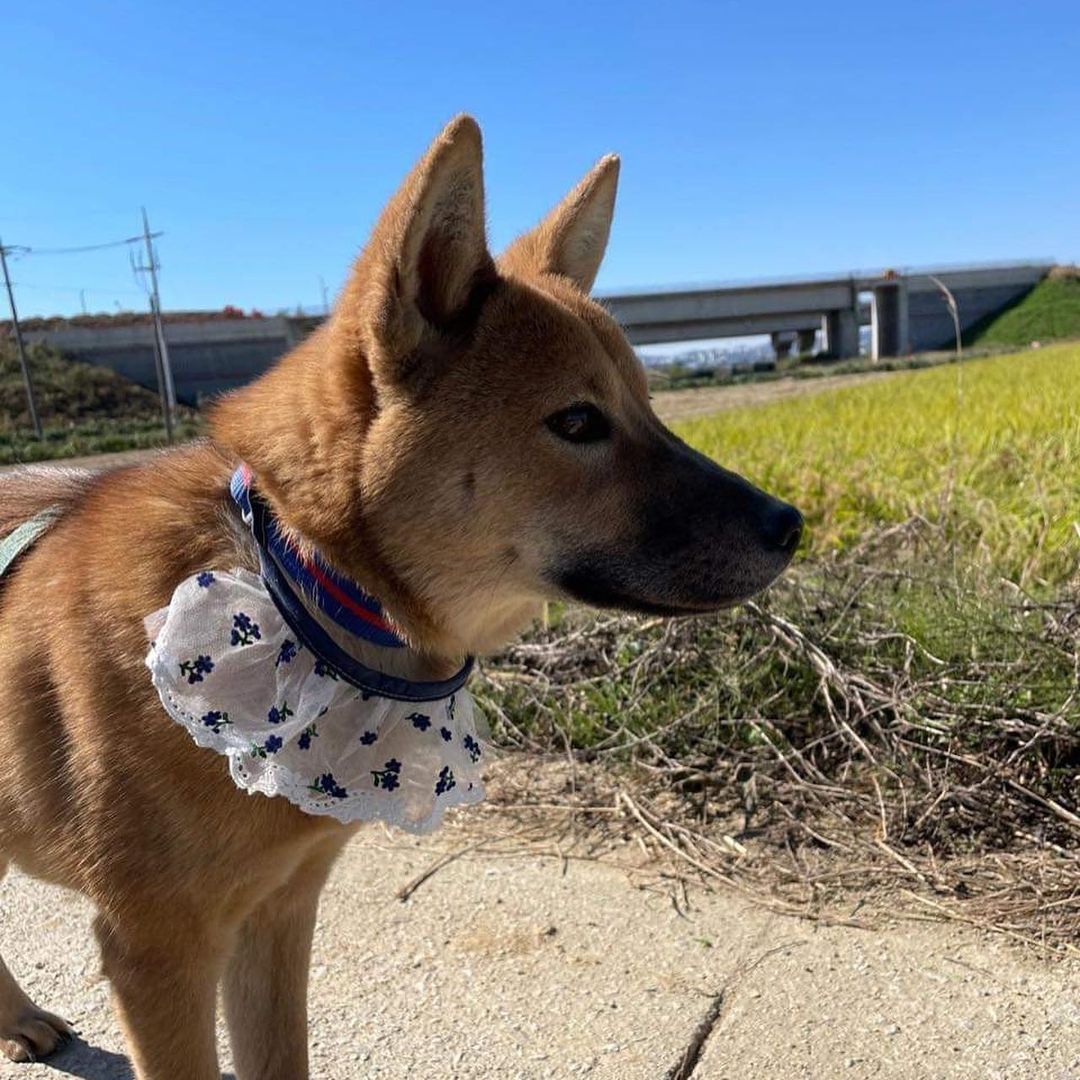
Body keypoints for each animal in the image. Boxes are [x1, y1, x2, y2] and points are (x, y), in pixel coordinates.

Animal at [0, 113, 803, 1075]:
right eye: (578, 421)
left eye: (649, 406)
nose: (791, 523)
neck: (298, 585)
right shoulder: (156, 952)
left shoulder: (276, 916)